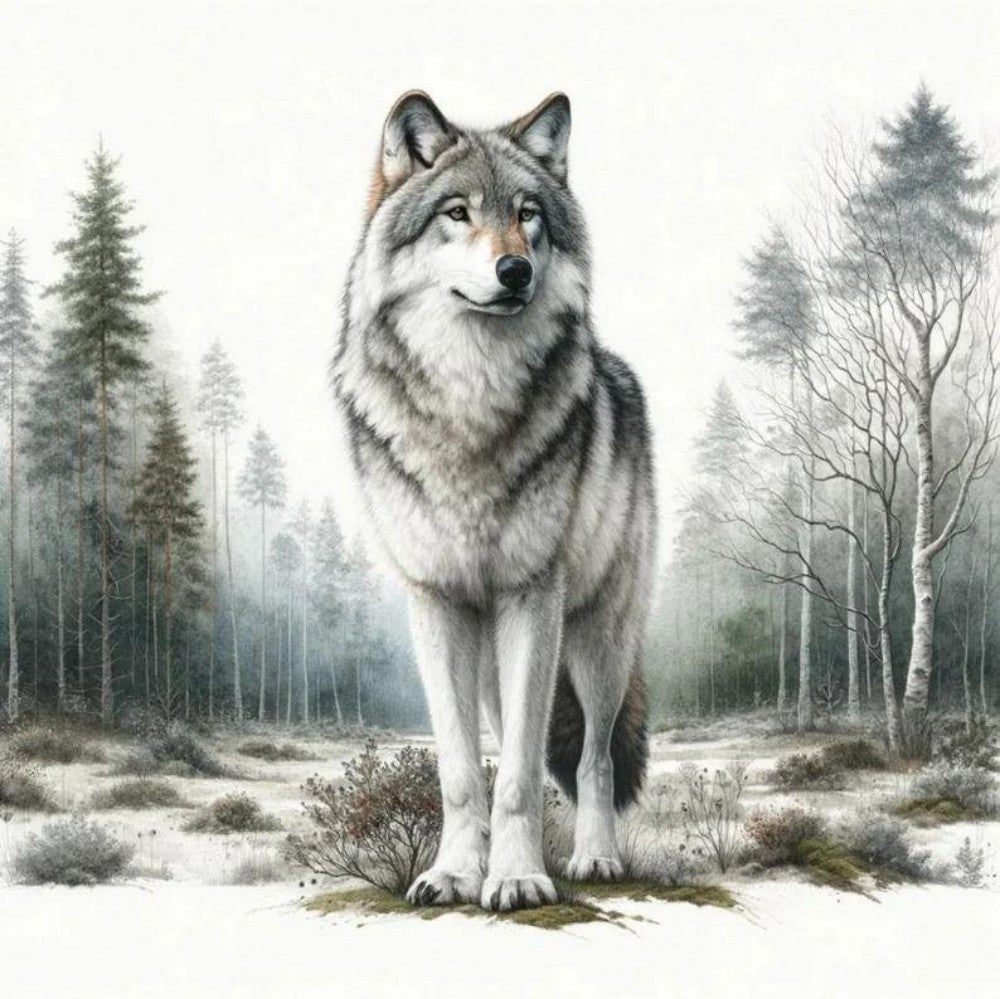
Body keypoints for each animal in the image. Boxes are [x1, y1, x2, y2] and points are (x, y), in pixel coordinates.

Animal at [332, 91, 657, 911]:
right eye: (457, 212)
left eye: (528, 214)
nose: (515, 270)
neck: (470, 400)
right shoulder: (436, 601)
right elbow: (461, 771)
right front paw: (453, 872)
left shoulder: (532, 595)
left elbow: (518, 773)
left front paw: (516, 877)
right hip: (488, 666)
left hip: (599, 641)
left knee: (595, 756)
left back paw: (595, 856)